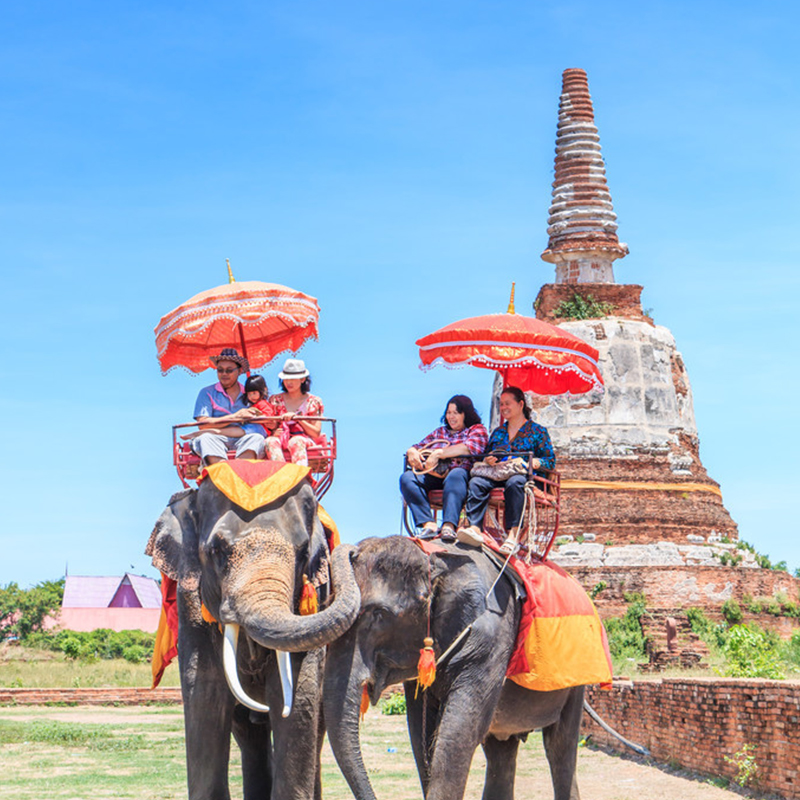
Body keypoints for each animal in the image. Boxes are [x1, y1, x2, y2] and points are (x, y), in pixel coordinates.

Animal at [148, 468, 360, 800]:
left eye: (303, 551)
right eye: (217, 550)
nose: (354, 551)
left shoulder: (312, 601)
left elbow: (295, 699)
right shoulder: (189, 602)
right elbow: (205, 695)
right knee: (249, 733)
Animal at [324, 536, 588, 800]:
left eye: (380, 614)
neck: (434, 554)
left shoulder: (491, 639)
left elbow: (457, 733)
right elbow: (421, 734)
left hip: (576, 681)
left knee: (560, 747)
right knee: (501, 750)